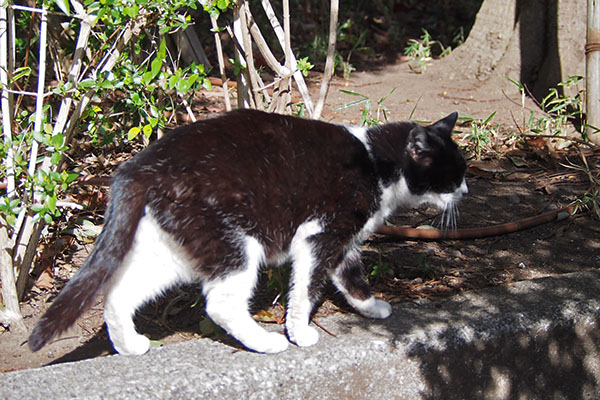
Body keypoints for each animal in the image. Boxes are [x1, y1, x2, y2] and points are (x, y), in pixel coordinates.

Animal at [29, 108, 468, 354]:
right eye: (453, 176)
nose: (466, 191)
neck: (375, 163)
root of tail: (139, 166)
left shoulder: (341, 241)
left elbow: (350, 276)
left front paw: (370, 307)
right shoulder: (320, 234)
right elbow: (306, 289)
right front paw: (299, 332)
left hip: (173, 246)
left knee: (119, 292)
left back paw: (129, 346)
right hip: (236, 243)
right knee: (220, 304)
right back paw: (266, 342)